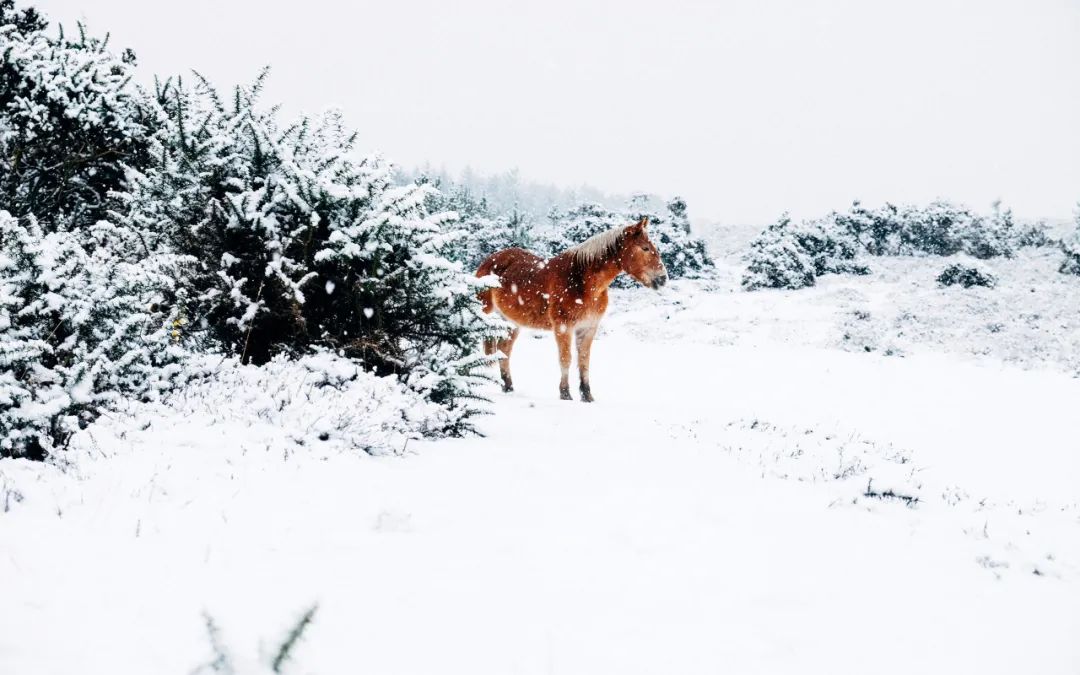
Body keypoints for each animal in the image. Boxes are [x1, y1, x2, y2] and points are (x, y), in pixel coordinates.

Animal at [479, 216, 665, 399]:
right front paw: (565, 394)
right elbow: (566, 358)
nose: (663, 278)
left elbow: (584, 360)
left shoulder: (588, 328)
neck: (582, 282)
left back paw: (508, 386)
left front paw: (587, 395)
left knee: (504, 350)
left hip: (512, 322)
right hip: (485, 314)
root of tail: (489, 261)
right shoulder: (563, 327)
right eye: (645, 248)